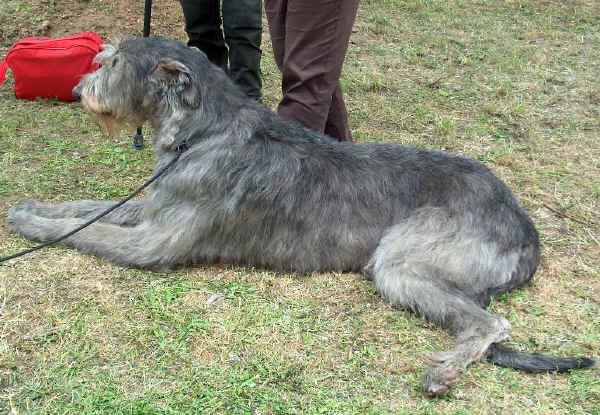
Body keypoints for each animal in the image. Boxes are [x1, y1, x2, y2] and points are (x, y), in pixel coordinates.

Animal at [5, 36, 596, 396]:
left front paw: (31, 227)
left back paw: (445, 371)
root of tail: (526, 230)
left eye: (111, 64)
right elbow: (87, 210)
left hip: (403, 260)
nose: (77, 90)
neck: (205, 131)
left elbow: (86, 231)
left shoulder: (153, 243)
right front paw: (31, 207)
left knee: (490, 324)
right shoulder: (153, 206)